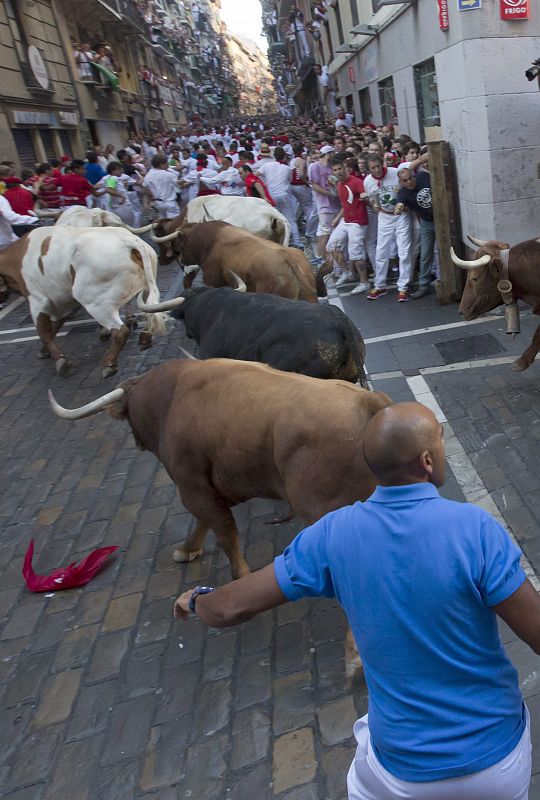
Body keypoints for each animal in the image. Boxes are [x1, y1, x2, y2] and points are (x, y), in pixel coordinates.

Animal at [0, 223, 184, 376]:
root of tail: (128, 240)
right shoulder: (61, 301)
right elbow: (54, 326)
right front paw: (45, 351)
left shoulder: (38, 301)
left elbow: (44, 331)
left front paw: (61, 360)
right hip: (145, 288)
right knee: (149, 314)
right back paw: (144, 338)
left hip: (96, 303)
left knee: (120, 331)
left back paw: (109, 363)